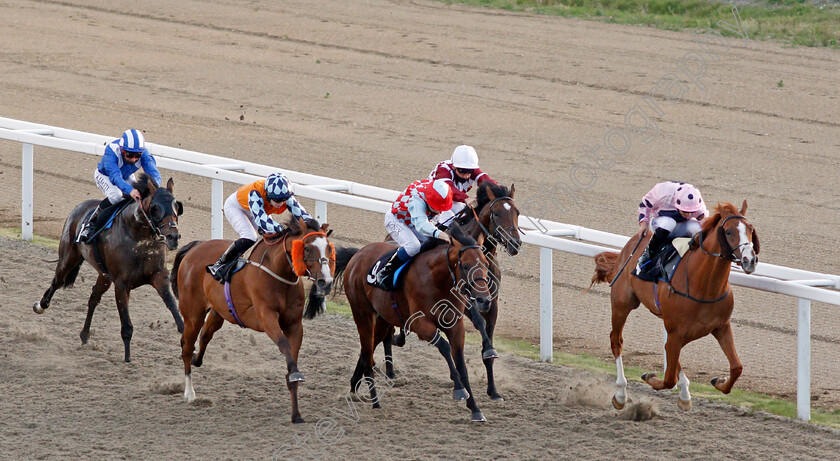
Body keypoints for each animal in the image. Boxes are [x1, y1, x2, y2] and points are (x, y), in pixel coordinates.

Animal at [34, 173, 184, 362]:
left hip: (104, 275)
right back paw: (40, 305)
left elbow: (176, 314)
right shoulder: (121, 284)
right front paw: (127, 359)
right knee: (56, 281)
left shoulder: (158, 276)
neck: (138, 236)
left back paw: (85, 335)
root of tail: (79, 207)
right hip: (68, 258)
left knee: (93, 298)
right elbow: (127, 326)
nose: (173, 237)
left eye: (176, 206)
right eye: (156, 207)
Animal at [171, 217, 334, 422]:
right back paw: (190, 393)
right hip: (193, 313)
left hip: (218, 312)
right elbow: (283, 344)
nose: (326, 282)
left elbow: (292, 356)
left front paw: (296, 414)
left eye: (328, 248)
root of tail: (196, 246)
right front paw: (295, 375)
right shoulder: (266, 317)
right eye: (307, 248)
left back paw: (195, 360)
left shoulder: (294, 325)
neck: (279, 272)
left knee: (205, 336)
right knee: (186, 346)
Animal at [334, 223, 492, 420]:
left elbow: (461, 364)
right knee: (368, 349)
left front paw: (475, 409)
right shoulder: (420, 324)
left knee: (368, 349)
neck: (437, 279)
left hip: (383, 318)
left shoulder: (456, 326)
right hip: (363, 314)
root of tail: (357, 255)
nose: (484, 300)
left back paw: (354, 387)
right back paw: (375, 400)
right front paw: (459, 390)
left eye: (486, 264)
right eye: (465, 265)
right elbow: (444, 347)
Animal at [592, 201, 760, 410]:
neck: (703, 286)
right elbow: (667, 379)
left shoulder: (720, 327)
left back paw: (685, 394)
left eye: (750, 229)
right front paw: (650, 377)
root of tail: (629, 246)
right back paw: (621, 394)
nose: (750, 260)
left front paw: (718, 382)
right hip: (621, 304)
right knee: (616, 341)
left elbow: (737, 367)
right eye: (728, 231)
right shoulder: (675, 333)